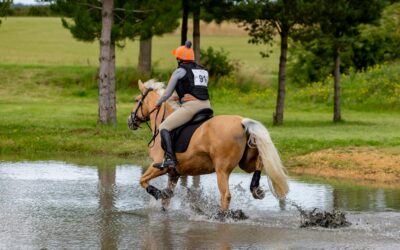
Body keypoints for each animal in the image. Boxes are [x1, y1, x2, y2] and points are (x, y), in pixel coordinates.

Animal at [128, 79, 288, 212]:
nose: (130, 121)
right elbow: (165, 200)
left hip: (222, 170)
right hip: (245, 163)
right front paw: (164, 197)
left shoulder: (159, 166)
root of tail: (241, 122)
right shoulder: (174, 173)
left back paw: (222, 215)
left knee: (225, 195)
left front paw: (158, 193)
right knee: (260, 163)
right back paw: (255, 189)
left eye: (136, 100)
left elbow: (142, 180)